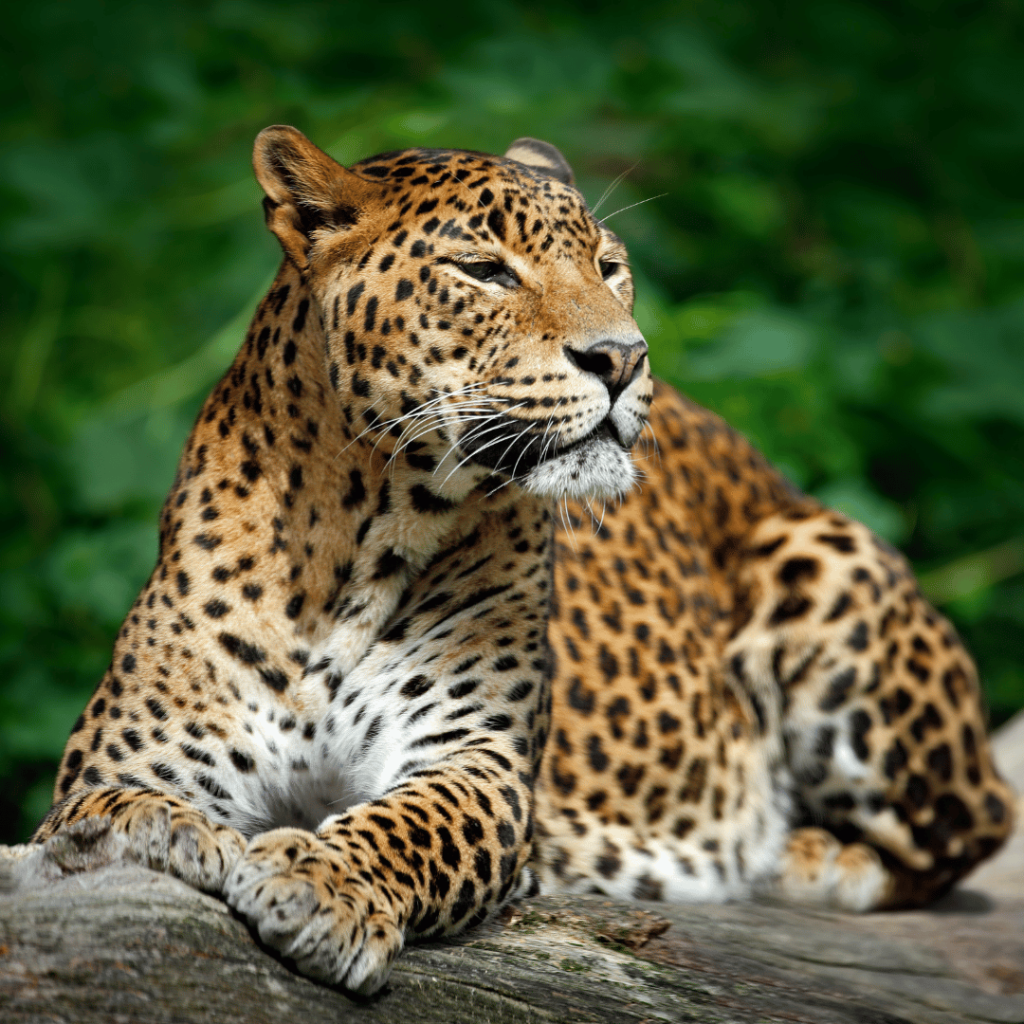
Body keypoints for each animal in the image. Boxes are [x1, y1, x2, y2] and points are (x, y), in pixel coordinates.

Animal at [34, 123, 1015, 995]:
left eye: (610, 267)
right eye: (484, 270)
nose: (623, 357)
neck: (357, 539)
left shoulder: (478, 759)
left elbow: (409, 825)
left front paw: (319, 883)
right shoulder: (127, 757)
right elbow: (106, 812)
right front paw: (167, 835)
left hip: (825, 559)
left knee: (974, 826)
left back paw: (797, 853)